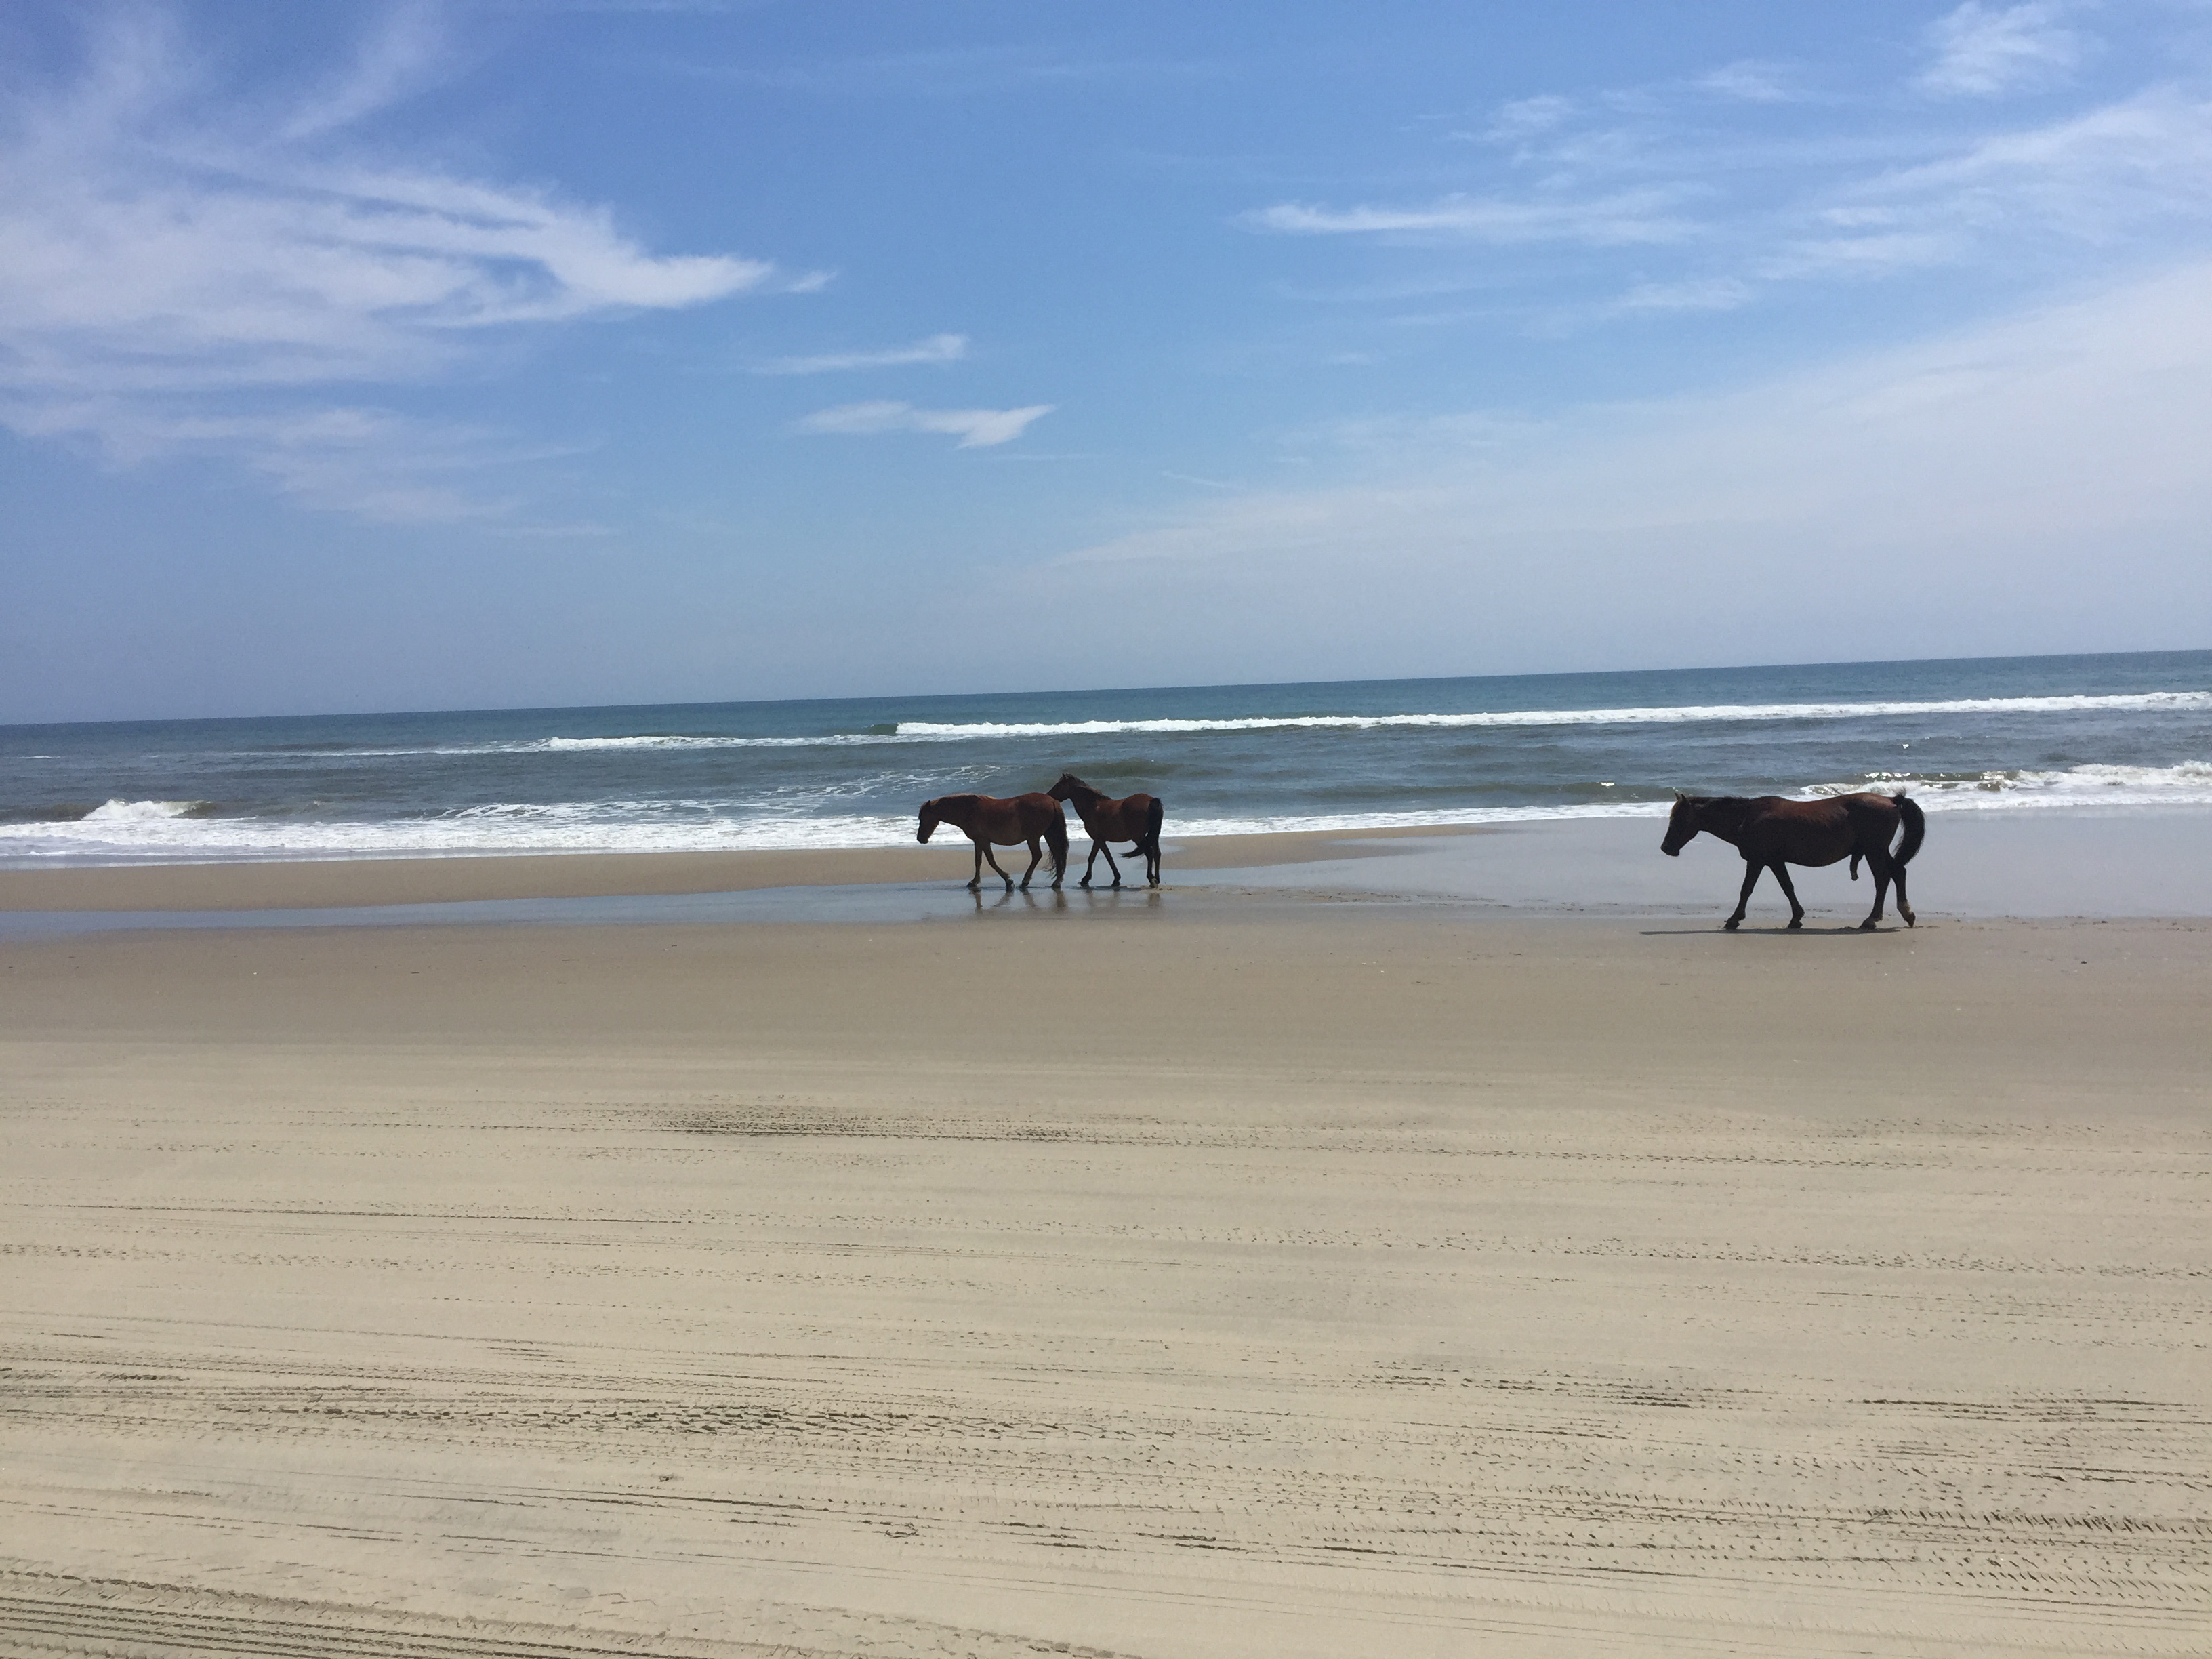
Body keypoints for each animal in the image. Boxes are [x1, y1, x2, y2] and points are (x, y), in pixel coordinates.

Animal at [907, 796, 1061, 898]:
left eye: (923, 817)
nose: (920, 839)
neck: (969, 810)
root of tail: (1052, 801)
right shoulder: (978, 842)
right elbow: (978, 861)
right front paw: (974, 882)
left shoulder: (984, 841)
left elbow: (991, 861)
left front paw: (1008, 880)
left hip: (1033, 838)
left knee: (1037, 856)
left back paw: (1025, 882)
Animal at [1044, 778, 1168, 889]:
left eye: (1059, 785)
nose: (1048, 795)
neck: (1093, 806)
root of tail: (1152, 800)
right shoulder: (1099, 840)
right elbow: (1101, 858)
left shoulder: (1099, 840)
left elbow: (1100, 858)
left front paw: (1088, 879)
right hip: (1153, 836)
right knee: (1157, 853)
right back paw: (1157, 879)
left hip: (1138, 837)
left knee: (1149, 853)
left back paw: (1151, 879)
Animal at [1663, 792, 1920, 937]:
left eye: (1678, 819)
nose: (1666, 848)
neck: (1747, 817)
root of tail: (1892, 800)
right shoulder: (1775, 861)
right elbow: (1788, 888)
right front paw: (1796, 918)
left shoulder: (1758, 860)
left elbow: (1746, 890)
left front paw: (1734, 919)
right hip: (1877, 851)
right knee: (1898, 872)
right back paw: (1906, 913)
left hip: (1873, 851)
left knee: (1883, 879)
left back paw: (1872, 919)